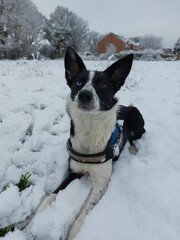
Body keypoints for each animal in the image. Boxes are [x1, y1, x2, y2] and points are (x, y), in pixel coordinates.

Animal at [25, 46, 146, 239]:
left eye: (102, 85)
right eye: (79, 83)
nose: (85, 95)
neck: (90, 129)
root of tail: (128, 107)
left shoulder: (101, 182)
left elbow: (83, 214)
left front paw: (72, 233)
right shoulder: (73, 172)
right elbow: (49, 197)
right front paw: (30, 226)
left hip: (136, 120)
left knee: (136, 137)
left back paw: (133, 149)